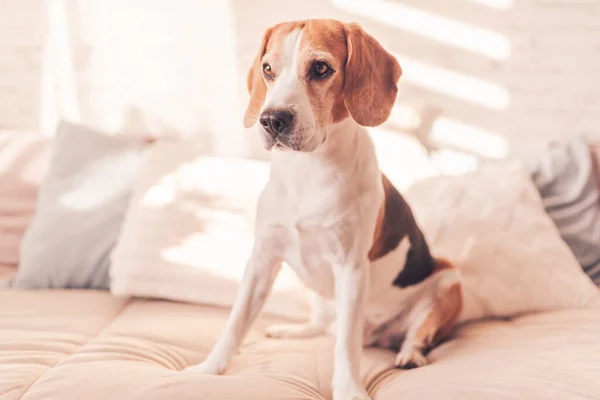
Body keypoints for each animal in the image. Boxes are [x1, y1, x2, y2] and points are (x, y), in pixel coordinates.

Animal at [188, 19, 464, 400]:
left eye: (320, 68)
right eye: (268, 69)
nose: (271, 119)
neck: (308, 170)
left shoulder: (351, 269)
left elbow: (346, 345)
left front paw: (349, 389)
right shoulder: (262, 260)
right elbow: (237, 321)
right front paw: (210, 368)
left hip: (450, 280)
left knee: (413, 333)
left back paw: (410, 354)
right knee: (323, 326)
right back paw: (294, 330)